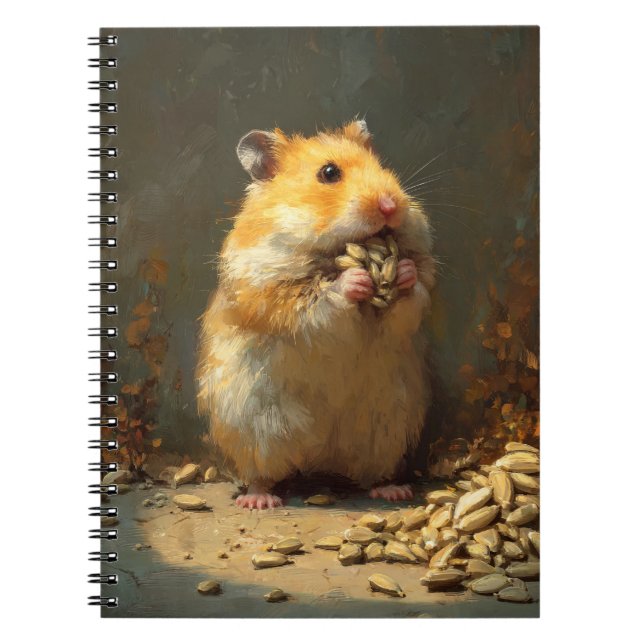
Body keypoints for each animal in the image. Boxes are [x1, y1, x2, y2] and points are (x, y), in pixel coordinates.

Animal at [196, 119, 436, 509]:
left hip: (386, 429)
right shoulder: (270, 287)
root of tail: (319, 458)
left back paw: (394, 490)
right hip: (253, 427)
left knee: (372, 472)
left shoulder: (422, 276)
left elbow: (417, 287)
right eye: (329, 173)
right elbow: (318, 299)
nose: (390, 205)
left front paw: (402, 272)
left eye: (382, 165)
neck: (332, 248)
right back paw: (259, 500)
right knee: (260, 472)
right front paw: (354, 281)